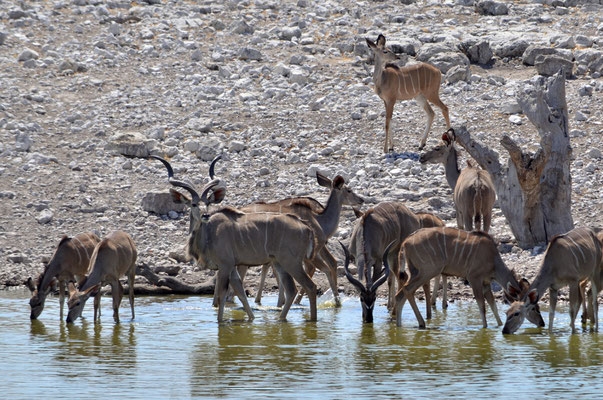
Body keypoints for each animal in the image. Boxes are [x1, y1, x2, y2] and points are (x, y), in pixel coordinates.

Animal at [396, 227, 524, 330]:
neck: (493, 259)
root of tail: (406, 242)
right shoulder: (474, 278)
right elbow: (482, 306)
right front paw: (485, 328)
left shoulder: (486, 284)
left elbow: (493, 306)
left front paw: (499, 325)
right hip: (428, 271)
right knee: (407, 289)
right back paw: (421, 323)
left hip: (416, 272)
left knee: (400, 294)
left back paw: (399, 325)